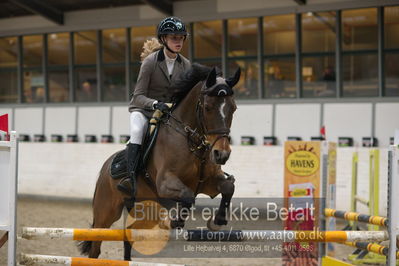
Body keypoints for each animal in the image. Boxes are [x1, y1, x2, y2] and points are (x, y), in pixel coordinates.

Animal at [78, 64, 241, 260]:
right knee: (95, 247)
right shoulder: (164, 182)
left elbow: (228, 187)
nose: (221, 154)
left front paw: (217, 221)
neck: (191, 141)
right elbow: (187, 195)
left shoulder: (208, 184)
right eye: (208, 107)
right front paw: (174, 221)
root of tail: (105, 168)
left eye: (233, 108)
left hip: (142, 211)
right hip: (106, 212)